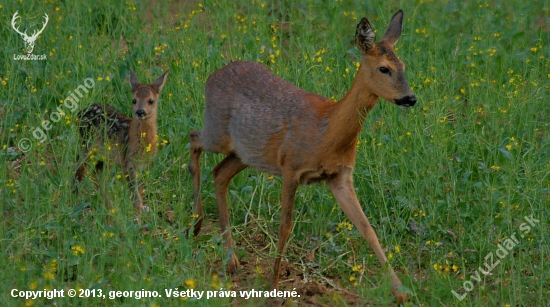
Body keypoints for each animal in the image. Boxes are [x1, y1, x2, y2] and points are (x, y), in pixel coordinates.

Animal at [74, 69, 168, 215]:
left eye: (151, 101)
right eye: (134, 100)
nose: (140, 112)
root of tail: (79, 113)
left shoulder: (139, 164)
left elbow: (139, 189)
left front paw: (143, 209)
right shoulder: (128, 161)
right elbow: (134, 193)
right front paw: (137, 213)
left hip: (105, 155)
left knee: (97, 174)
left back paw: (109, 207)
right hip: (86, 144)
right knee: (79, 169)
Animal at [192, 10, 416, 306]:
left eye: (403, 65)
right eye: (384, 68)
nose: (410, 98)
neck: (327, 129)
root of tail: (211, 76)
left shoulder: (340, 177)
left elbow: (367, 228)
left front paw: (401, 291)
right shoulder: (291, 167)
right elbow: (285, 226)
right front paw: (273, 289)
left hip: (246, 153)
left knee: (219, 174)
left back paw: (231, 260)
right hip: (217, 132)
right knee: (193, 139)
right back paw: (196, 224)